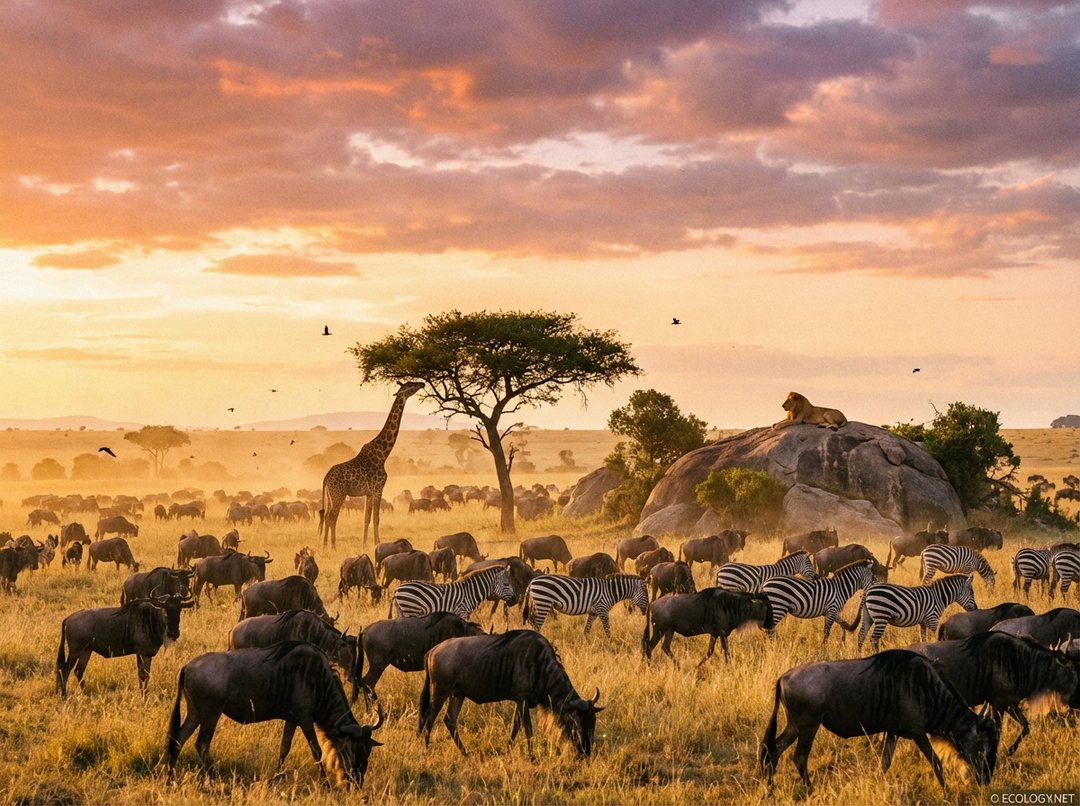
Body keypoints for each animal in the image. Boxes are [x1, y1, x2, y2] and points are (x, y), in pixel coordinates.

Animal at [318, 380, 424, 548]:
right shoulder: (378, 488)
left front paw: (364, 544)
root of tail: (326, 477)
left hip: (330, 496)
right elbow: (376, 518)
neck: (383, 454)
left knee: (328, 516)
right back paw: (332, 547)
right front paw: (377, 543)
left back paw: (325, 546)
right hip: (338, 494)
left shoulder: (368, 492)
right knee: (331, 517)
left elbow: (366, 519)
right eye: (410, 386)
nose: (422, 383)